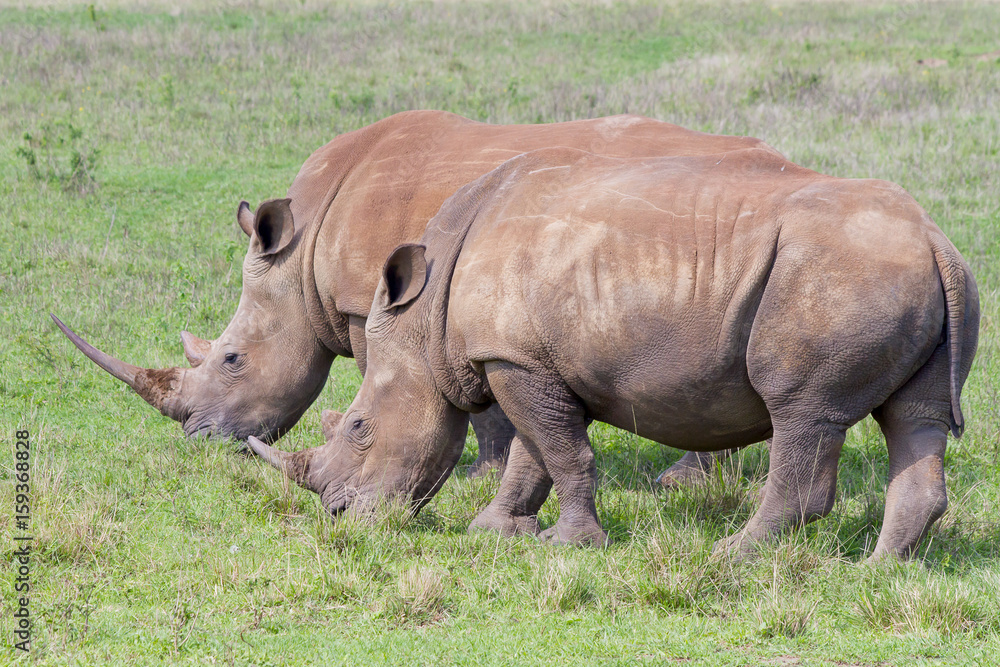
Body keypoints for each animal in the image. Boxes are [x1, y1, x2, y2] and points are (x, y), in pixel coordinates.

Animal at [56, 111, 764, 474]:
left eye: (231, 360)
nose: (198, 440)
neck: (302, 253)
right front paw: (489, 471)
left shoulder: (375, 305)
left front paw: (477, 472)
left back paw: (684, 480)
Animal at [248, 145, 976, 560]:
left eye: (359, 427)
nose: (340, 517)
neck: (424, 321)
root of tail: (935, 240)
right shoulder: (526, 360)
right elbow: (533, 454)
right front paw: (496, 531)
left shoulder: (516, 360)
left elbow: (560, 452)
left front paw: (571, 545)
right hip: (902, 276)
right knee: (914, 418)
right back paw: (882, 569)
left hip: (839, 278)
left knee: (802, 411)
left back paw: (734, 555)